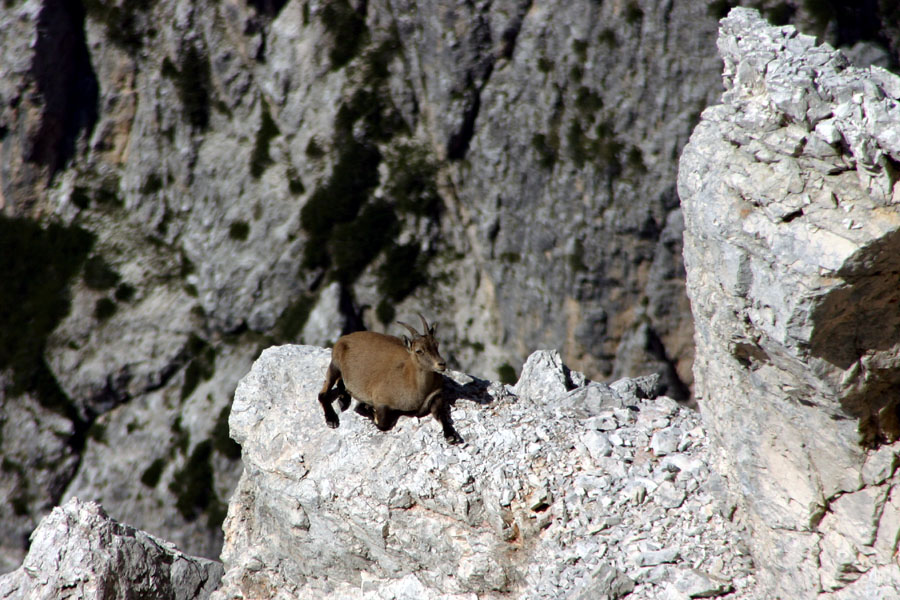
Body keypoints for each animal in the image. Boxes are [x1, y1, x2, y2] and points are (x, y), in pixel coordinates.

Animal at [317, 313, 462, 444]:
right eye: (419, 351)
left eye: (436, 344)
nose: (441, 364)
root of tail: (344, 338)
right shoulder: (381, 399)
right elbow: (382, 424)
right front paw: (364, 408)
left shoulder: (436, 396)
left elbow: (442, 415)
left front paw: (451, 436)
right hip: (335, 364)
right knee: (323, 393)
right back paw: (332, 419)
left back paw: (343, 399)